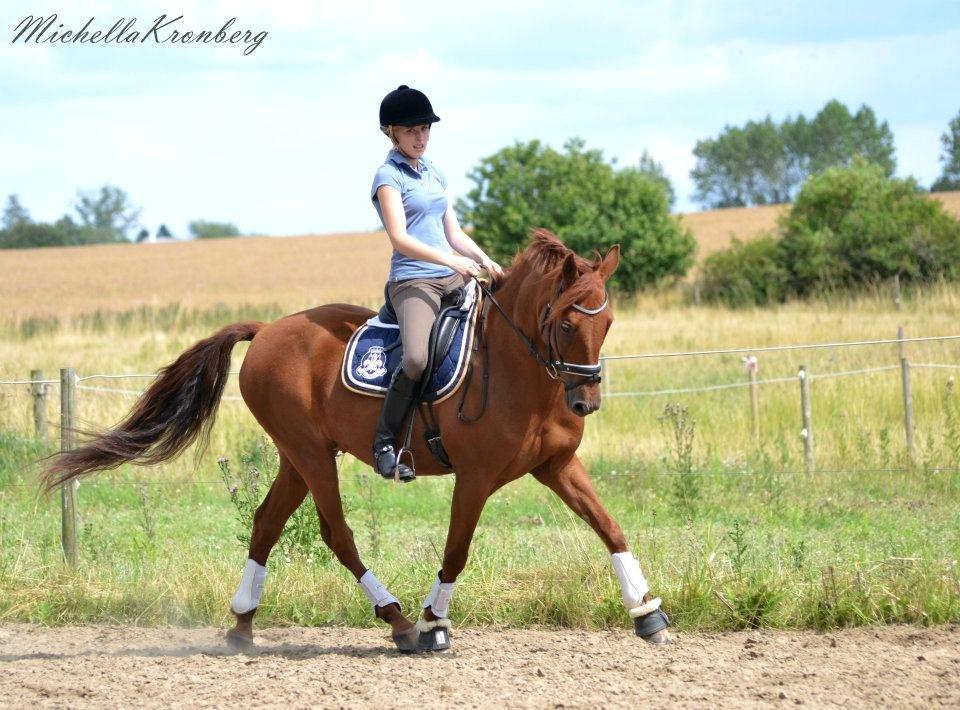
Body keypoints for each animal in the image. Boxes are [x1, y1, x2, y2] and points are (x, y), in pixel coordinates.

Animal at [44, 228, 671, 651]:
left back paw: (244, 623)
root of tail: (266, 330)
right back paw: (399, 621)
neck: (521, 372)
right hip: (311, 454)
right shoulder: (474, 478)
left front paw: (646, 612)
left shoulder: (557, 465)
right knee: (336, 534)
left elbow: (609, 525)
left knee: (266, 524)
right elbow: (456, 549)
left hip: (298, 456)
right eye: (566, 321)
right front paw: (434, 622)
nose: (585, 403)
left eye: (607, 322)